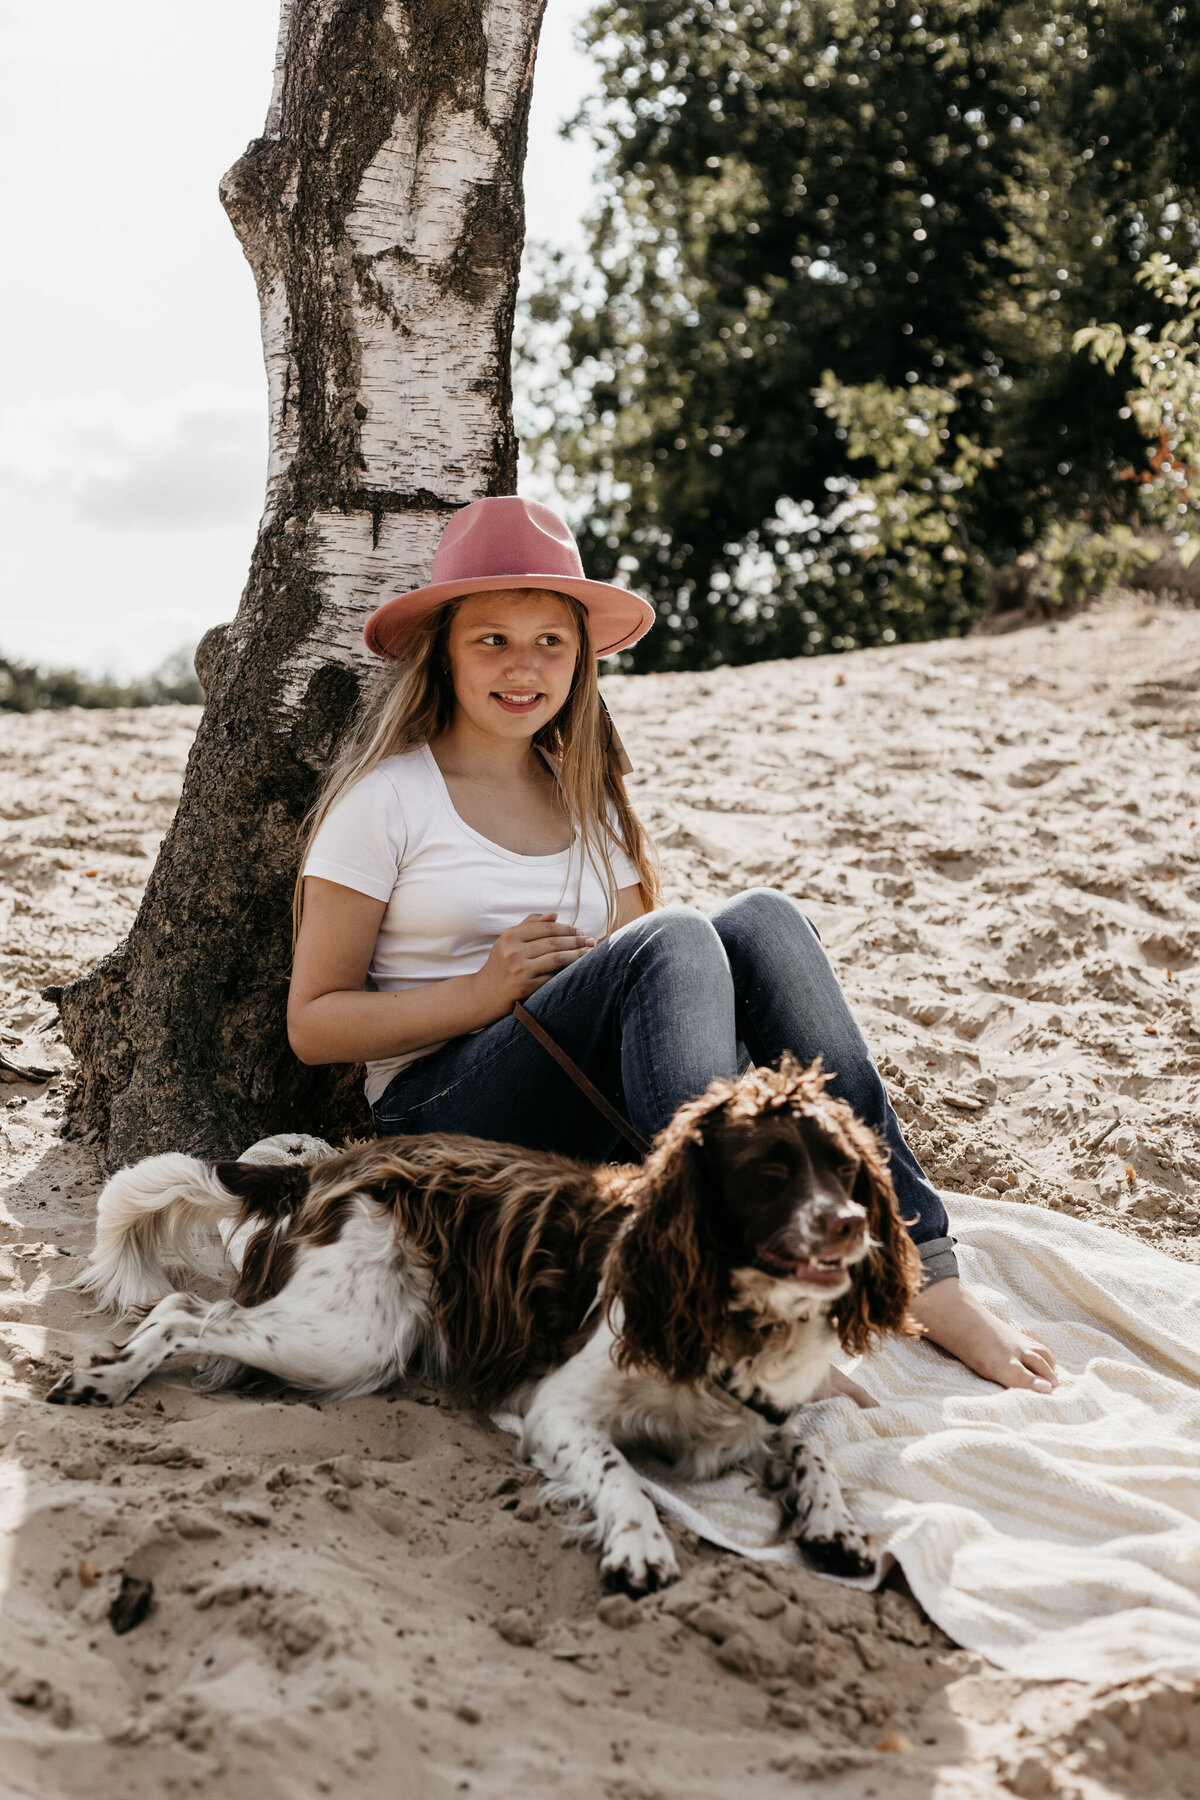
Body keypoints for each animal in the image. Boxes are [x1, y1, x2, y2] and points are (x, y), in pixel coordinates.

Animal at [49, 1058, 921, 1598]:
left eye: (845, 1168)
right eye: (769, 1169)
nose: (851, 1225)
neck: (732, 1316)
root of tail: (319, 1168)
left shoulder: (751, 1419)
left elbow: (811, 1449)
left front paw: (835, 1528)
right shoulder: (558, 1412)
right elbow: (621, 1475)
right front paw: (639, 1546)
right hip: (351, 1342)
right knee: (188, 1314)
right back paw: (106, 1379)